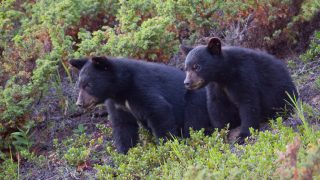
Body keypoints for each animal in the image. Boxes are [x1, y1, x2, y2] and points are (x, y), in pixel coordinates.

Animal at [69, 56, 211, 153]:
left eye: (88, 85)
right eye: (79, 85)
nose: (79, 103)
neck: (121, 90)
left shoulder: (142, 87)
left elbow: (159, 111)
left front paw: (167, 146)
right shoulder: (117, 105)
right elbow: (123, 126)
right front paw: (125, 153)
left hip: (196, 98)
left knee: (194, 118)